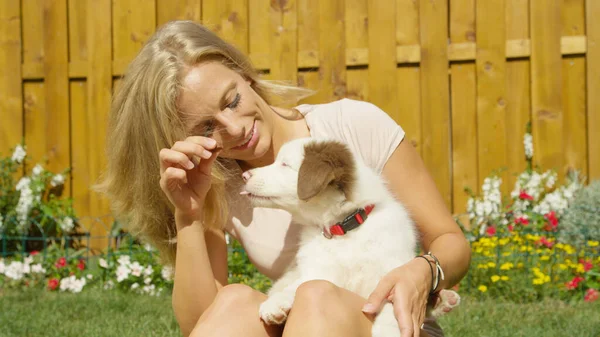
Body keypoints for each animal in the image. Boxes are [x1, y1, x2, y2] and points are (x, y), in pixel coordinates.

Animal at [239, 138, 460, 334]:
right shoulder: (320, 271)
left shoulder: (391, 276)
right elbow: (301, 284)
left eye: (284, 164)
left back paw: (443, 300)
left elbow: (394, 308)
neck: (344, 229)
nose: (245, 175)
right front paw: (276, 304)